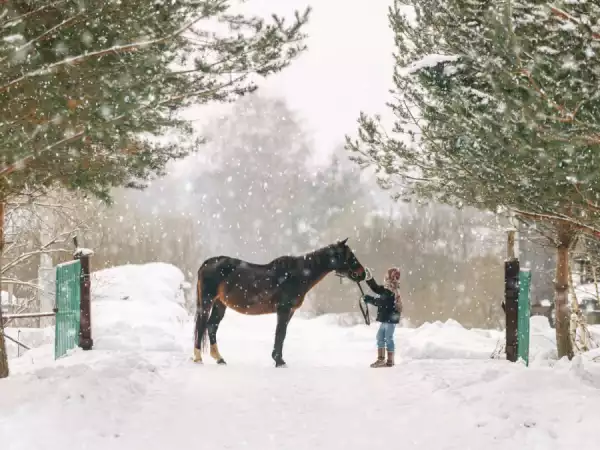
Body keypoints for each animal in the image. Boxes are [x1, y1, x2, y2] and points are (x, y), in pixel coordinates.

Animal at [192, 237, 366, 368]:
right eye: (350, 256)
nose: (362, 274)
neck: (298, 274)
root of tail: (208, 263)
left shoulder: (290, 311)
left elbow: (282, 334)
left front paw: (277, 358)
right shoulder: (283, 309)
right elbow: (280, 333)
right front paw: (279, 361)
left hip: (220, 304)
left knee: (211, 326)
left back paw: (219, 358)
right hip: (207, 301)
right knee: (202, 326)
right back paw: (198, 358)